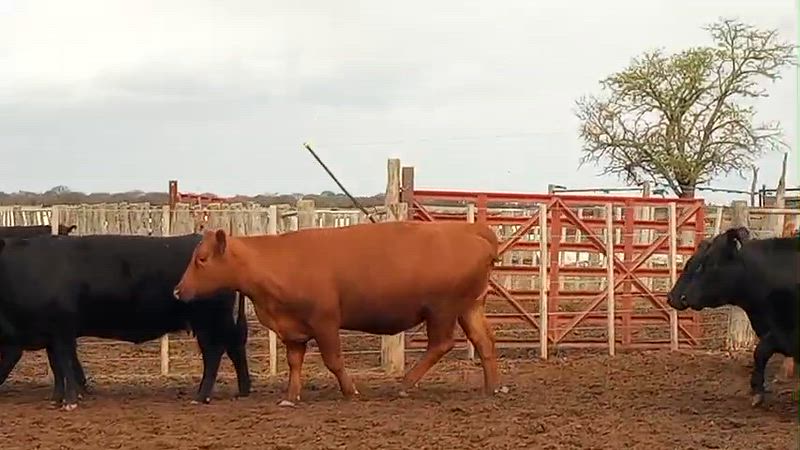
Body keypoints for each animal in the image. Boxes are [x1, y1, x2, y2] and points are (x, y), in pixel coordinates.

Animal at [0, 233, 252, 411]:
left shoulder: (61, 330)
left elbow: (65, 363)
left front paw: (70, 401)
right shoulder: (53, 334)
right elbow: (58, 365)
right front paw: (57, 398)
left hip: (208, 321)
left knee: (214, 353)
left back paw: (201, 397)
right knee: (234, 347)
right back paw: (242, 391)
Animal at [173, 221, 501, 407]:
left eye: (202, 259)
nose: (178, 291)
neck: (277, 261)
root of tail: (469, 230)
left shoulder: (325, 322)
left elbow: (333, 360)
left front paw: (350, 391)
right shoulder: (293, 330)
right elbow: (294, 363)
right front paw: (290, 397)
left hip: (442, 309)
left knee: (441, 344)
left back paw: (406, 384)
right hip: (469, 307)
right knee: (484, 341)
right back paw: (493, 387)